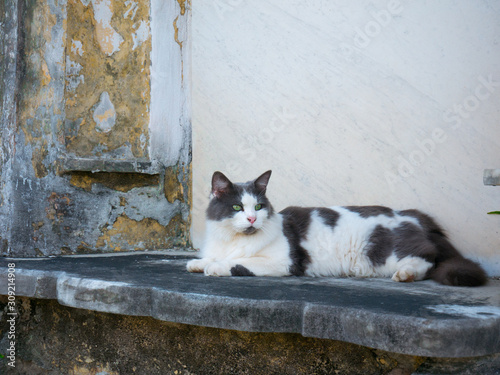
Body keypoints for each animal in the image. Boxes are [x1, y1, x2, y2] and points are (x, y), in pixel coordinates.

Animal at [186, 171, 486, 288]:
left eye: (259, 207)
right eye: (237, 207)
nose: (251, 219)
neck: (233, 240)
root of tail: (414, 215)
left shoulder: (284, 262)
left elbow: (239, 262)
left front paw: (216, 266)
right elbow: (211, 257)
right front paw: (199, 263)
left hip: (385, 254)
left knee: (427, 259)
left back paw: (405, 275)